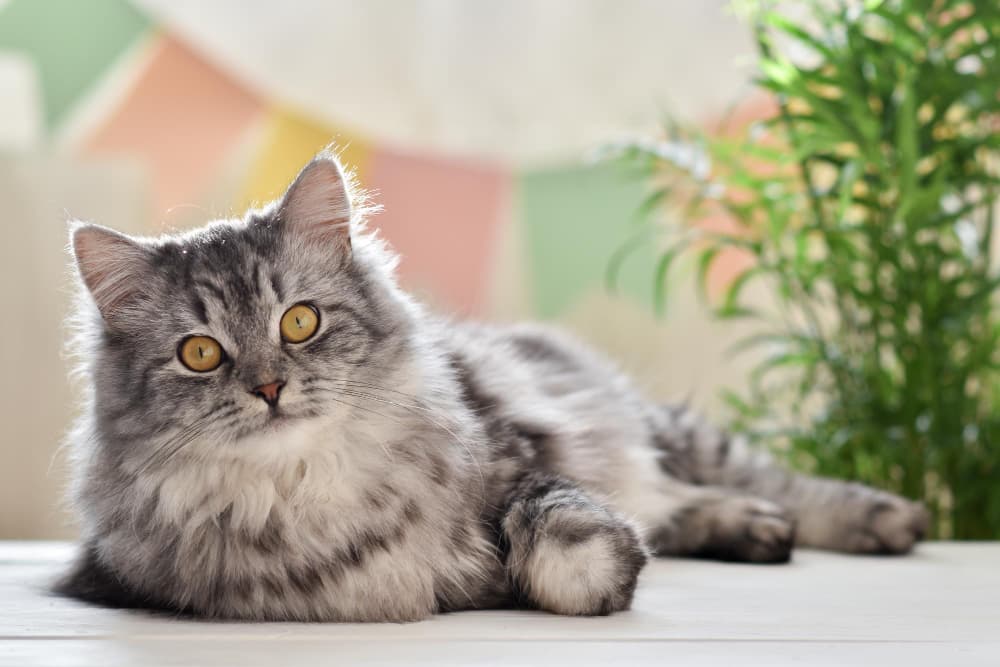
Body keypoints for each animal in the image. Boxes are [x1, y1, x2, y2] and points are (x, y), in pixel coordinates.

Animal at [54, 151, 928, 620]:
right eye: (201, 353)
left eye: (299, 322)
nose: (269, 387)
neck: (305, 493)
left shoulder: (519, 457)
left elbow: (553, 527)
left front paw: (603, 574)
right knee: (691, 505)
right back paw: (756, 530)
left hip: (667, 429)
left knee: (757, 480)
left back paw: (882, 518)